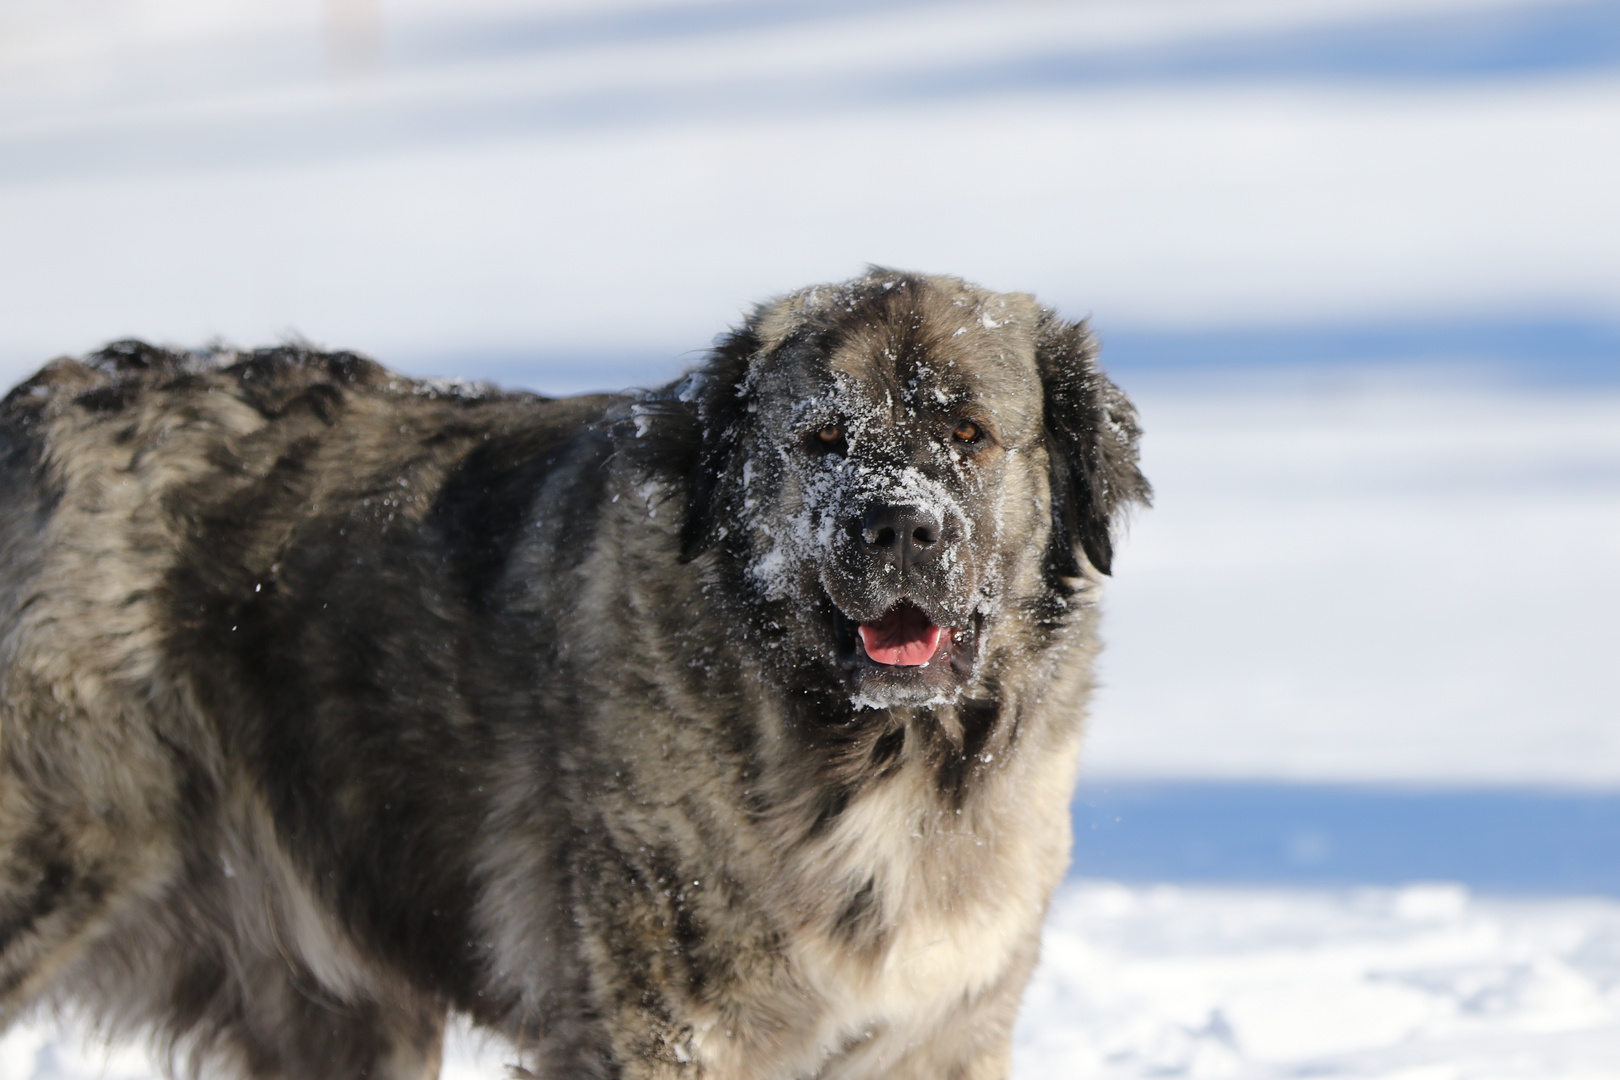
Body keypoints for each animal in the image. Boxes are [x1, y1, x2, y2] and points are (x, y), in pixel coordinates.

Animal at [0, 272, 1146, 1080]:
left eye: (970, 434)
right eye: (823, 437)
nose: (898, 526)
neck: (873, 760)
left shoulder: (938, 1032)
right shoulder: (664, 1031)